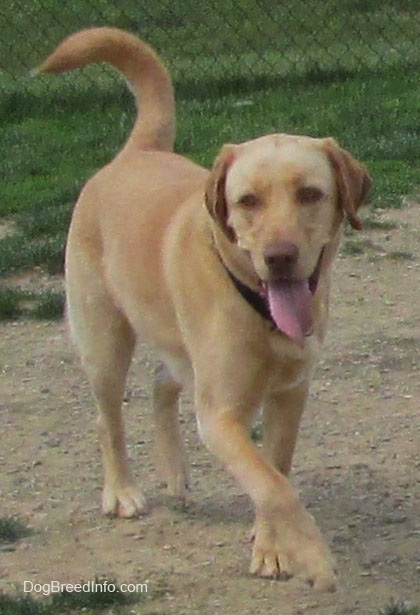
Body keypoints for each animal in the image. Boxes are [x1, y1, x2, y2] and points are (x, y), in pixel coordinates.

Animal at [37, 27, 370, 592]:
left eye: (310, 193)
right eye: (248, 201)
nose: (279, 257)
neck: (258, 309)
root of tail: (136, 152)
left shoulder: (289, 394)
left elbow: (274, 470)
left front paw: (272, 546)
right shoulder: (219, 414)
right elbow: (275, 487)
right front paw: (310, 556)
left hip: (178, 349)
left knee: (161, 383)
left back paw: (174, 471)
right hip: (104, 342)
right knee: (108, 419)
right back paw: (121, 492)